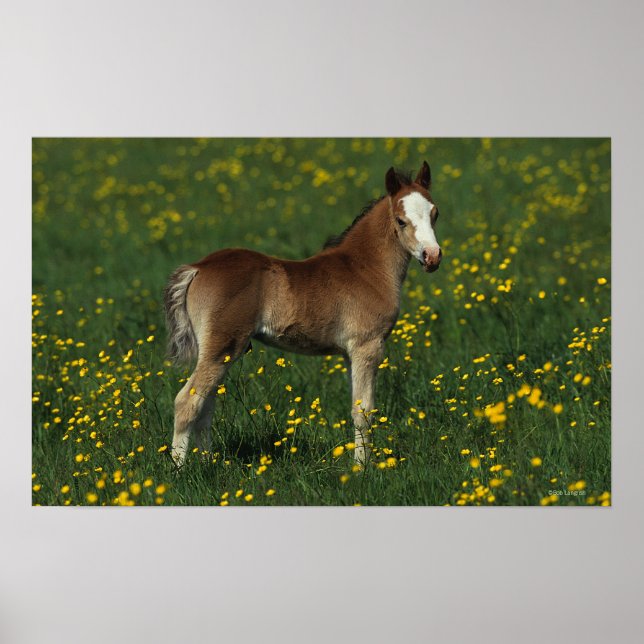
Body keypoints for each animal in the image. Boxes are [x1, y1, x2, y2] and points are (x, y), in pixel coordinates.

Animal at [164, 161, 442, 466]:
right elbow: (364, 412)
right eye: (401, 220)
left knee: (206, 406)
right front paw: (362, 468)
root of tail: (198, 267)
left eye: (435, 214)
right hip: (223, 346)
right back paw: (180, 470)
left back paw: (207, 463)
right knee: (187, 402)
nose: (432, 256)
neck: (365, 269)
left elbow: (356, 405)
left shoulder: (349, 353)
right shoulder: (367, 346)